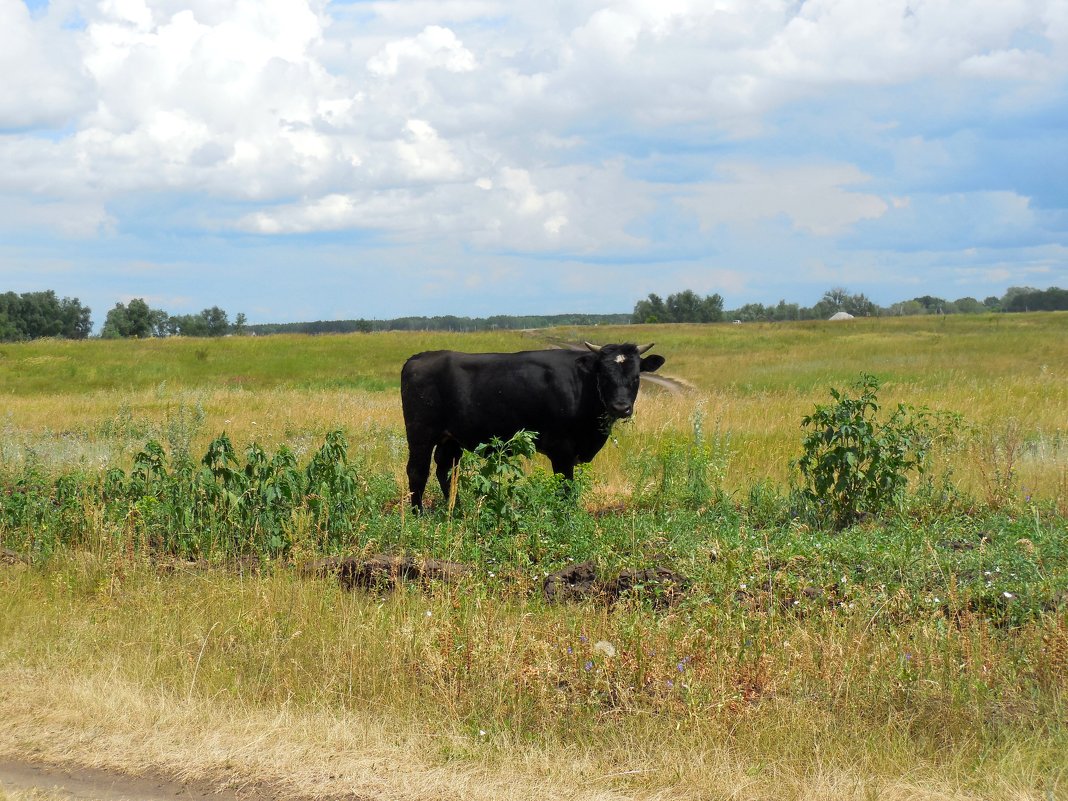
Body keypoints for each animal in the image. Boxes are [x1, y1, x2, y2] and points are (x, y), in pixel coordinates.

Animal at [401, 341, 662, 510]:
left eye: (636, 377)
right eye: (605, 376)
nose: (621, 407)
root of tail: (418, 357)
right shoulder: (562, 449)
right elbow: (565, 487)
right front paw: (565, 516)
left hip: (451, 439)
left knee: (445, 470)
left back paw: (455, 510)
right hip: (420, 434)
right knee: (417, 471)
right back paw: (418, 513)